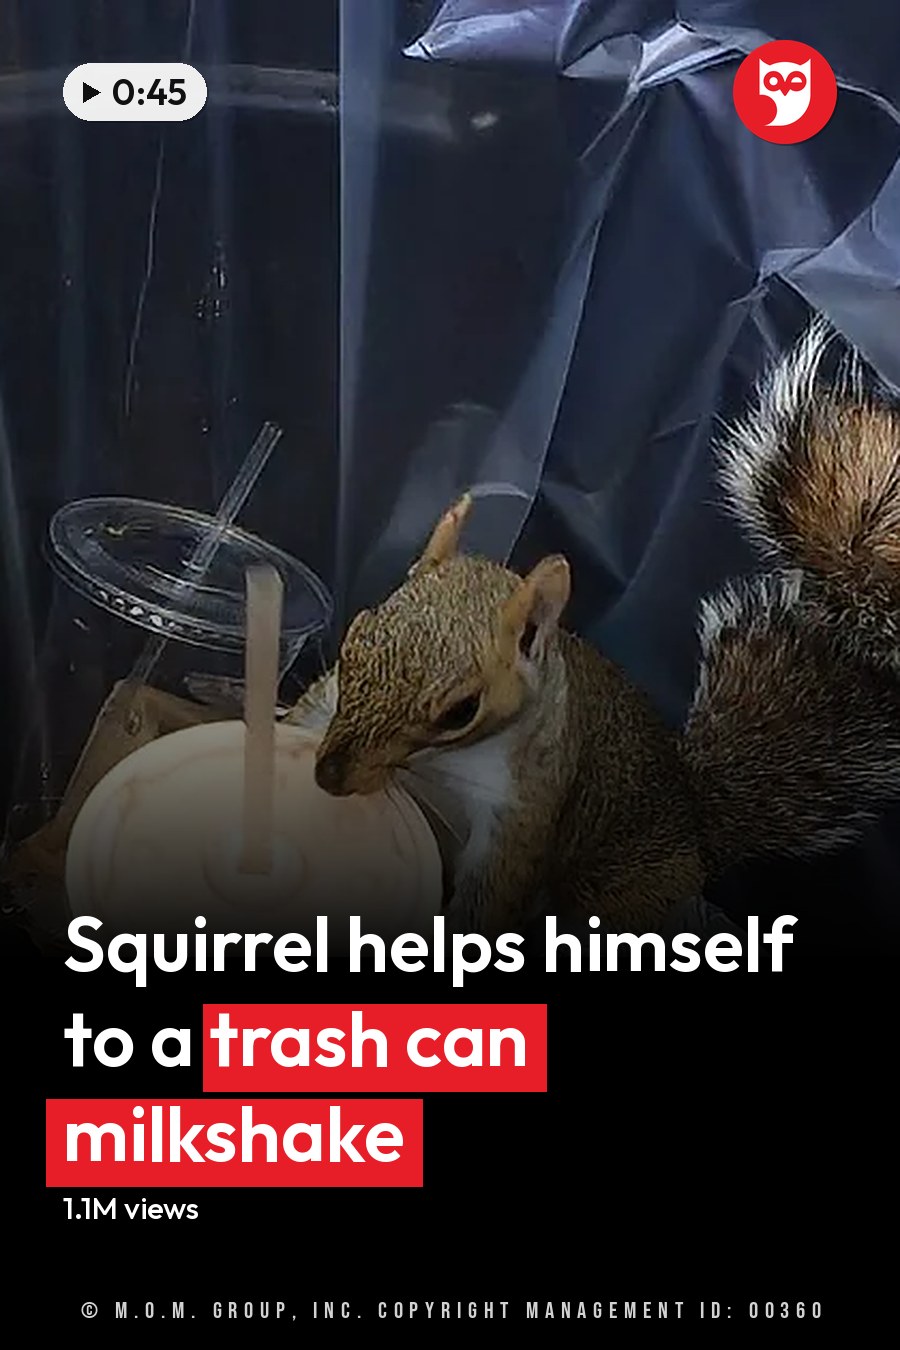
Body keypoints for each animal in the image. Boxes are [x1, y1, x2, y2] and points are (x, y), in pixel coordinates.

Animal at [288, 320, 900, 933]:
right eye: (353, 639)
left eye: (461, 711)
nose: (329, 776)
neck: (445, 766)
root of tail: (694, 824)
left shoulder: (527, 804)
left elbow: (494, 892)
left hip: (616, 888)